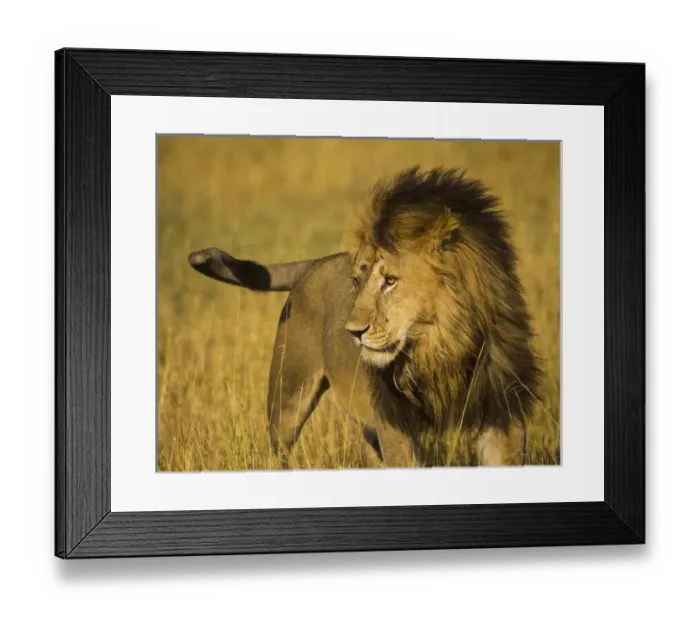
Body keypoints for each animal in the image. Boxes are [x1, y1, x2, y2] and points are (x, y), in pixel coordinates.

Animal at [187, 166, 542, 468]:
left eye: (390, 281)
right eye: (357, 281)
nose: (352, 332)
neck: (441, 346)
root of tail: (315, 263)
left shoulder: (503, 412)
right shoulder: (394, 424)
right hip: (288, 392)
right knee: (279, 449)